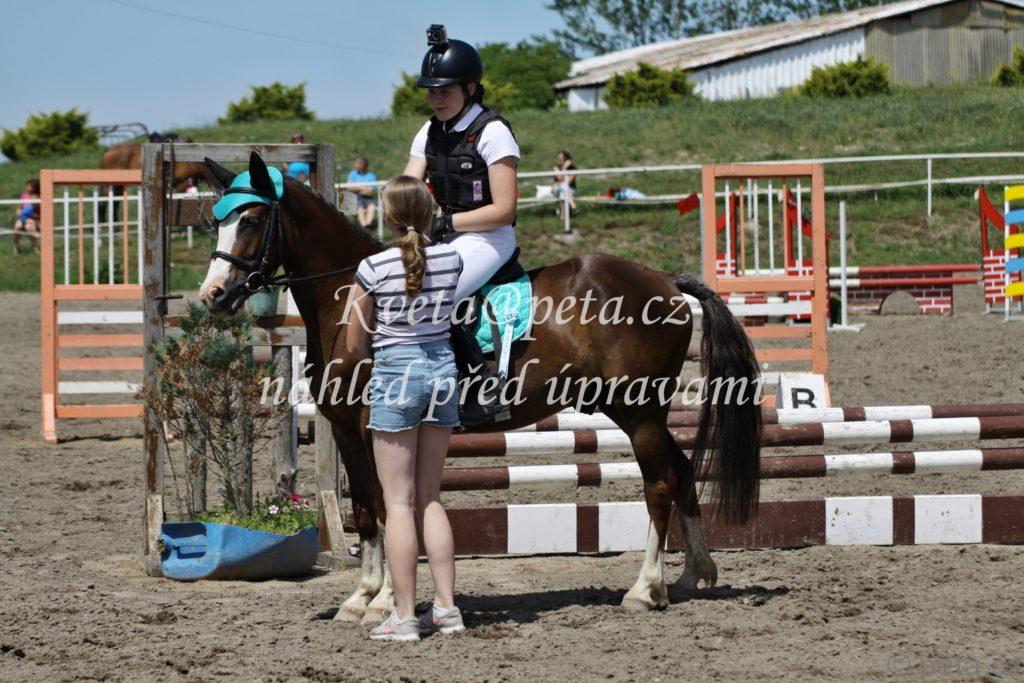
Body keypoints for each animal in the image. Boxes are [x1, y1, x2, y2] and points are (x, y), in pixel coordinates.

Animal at [197, 152, 762, 623]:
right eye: (218, 221)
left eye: (251, 220)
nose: (213, 296)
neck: (349, 300)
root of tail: (665, 280)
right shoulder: (344, 430)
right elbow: (364, 511)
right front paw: (360, 597)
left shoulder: (379, 425)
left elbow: (386, 506)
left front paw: (383, 601)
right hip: (634, 411)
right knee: (682, 470)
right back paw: (693, 575)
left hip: (640, 411)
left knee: (660, 484)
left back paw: (646, 589)